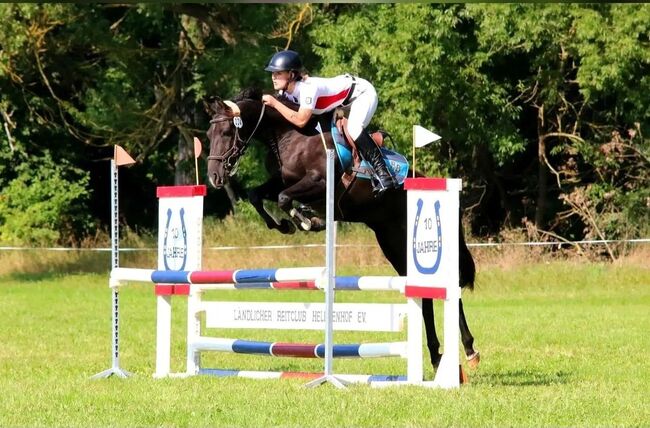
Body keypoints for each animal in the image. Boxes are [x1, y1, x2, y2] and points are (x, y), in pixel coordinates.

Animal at [205, 88, 478, 372]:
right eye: (208, 135)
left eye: (226, 132)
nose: (214, 177)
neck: (289, 135)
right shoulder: (281, 180)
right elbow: (257, 194)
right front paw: (283, 225)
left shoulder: (319, 182)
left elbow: (283, 198)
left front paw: (309, 221)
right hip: (392, 242)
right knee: (424, 292)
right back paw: (437, 356)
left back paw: (469, 350)